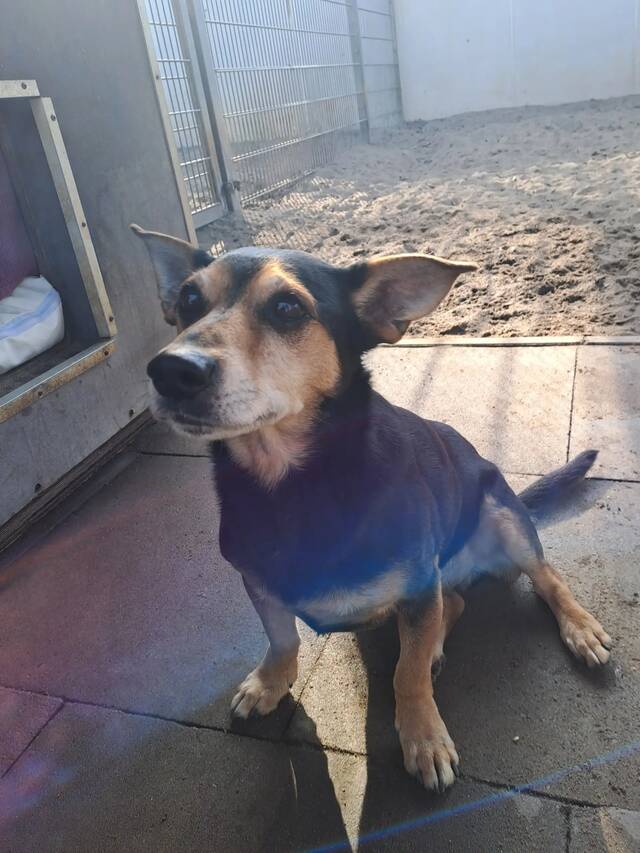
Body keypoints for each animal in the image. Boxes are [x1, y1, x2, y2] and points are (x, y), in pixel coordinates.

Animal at [132, 223, 611, 793]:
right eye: (188, 299)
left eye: (288, 308)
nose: (169, 369)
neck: (294, 487)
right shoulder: (258, 582)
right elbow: (281, 639)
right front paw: (270, 683)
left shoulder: (420, 584)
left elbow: (407, 674)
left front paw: (423, 736)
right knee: (455, 603)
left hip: (502, 513)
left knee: (544, 578)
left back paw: (578, 629)